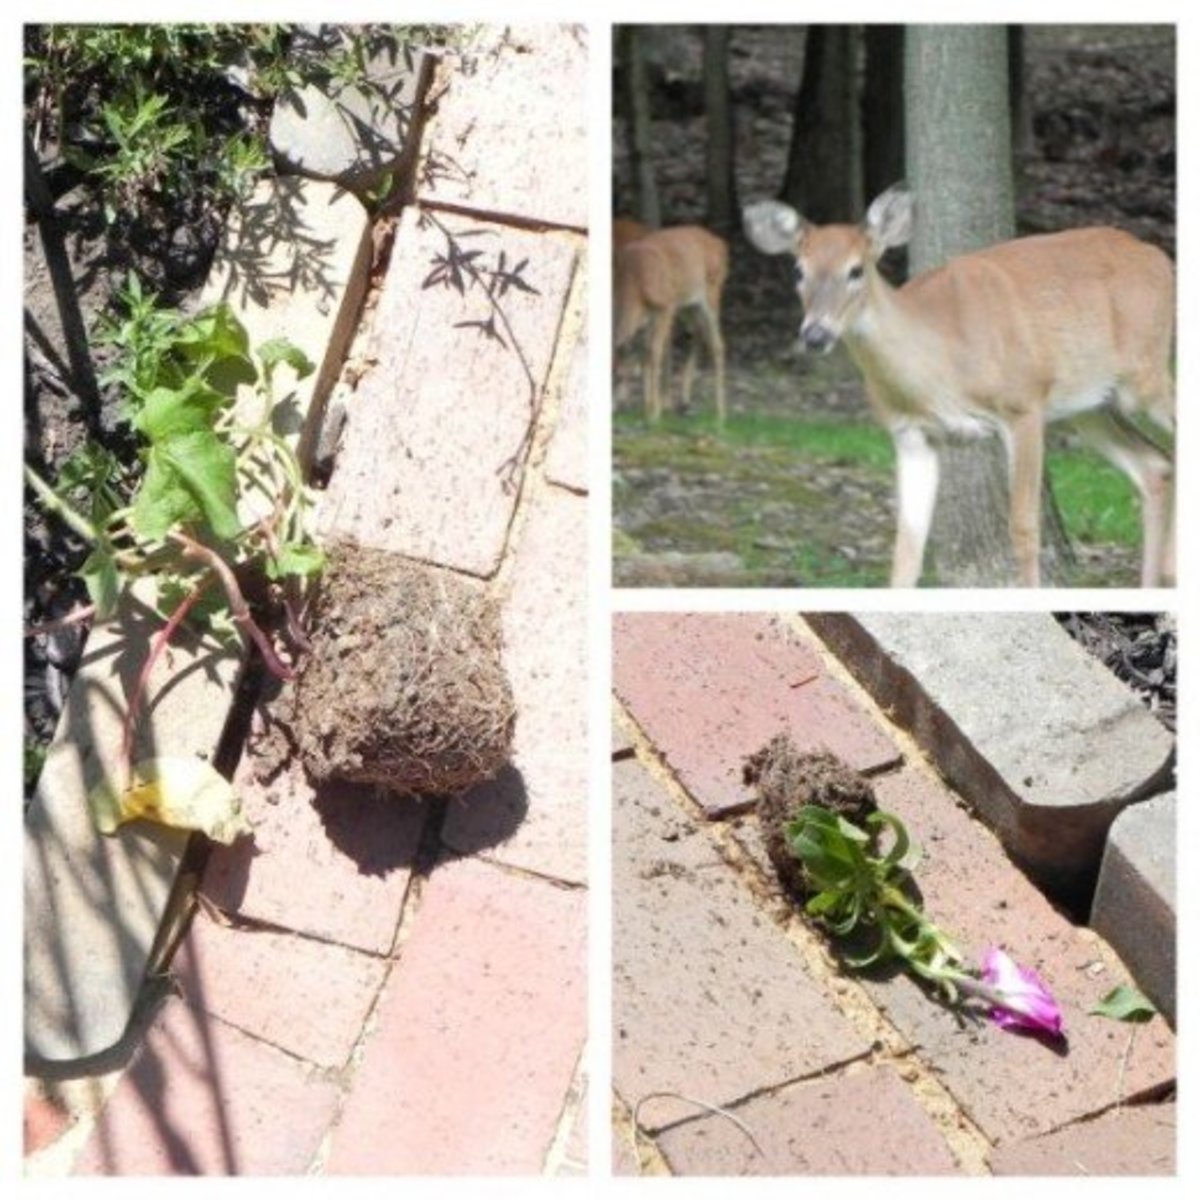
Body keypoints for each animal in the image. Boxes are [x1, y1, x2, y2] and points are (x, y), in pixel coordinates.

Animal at [613, 224, 729, 426]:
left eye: (617, 377)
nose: (612, 408)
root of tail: (720, 243)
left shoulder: (665, 305)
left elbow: (654, 352)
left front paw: (654, 413)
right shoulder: (649, 316)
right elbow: (645, 353)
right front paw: (648, 407)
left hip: (711, 291)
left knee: (717, 344)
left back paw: (720, 415)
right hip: (688, 304)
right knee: (697, 333)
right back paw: (685, 402)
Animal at [743, 184, 1175, 588]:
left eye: (856, 270)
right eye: (798, 270)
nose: (815, 335)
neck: (940, 364)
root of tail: (1158, 257)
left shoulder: (1023, 404)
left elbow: (1024, 528)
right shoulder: (911, 434)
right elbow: (907, 549)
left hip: (1147, 372)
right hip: (1092, 406)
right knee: (1154, 465)